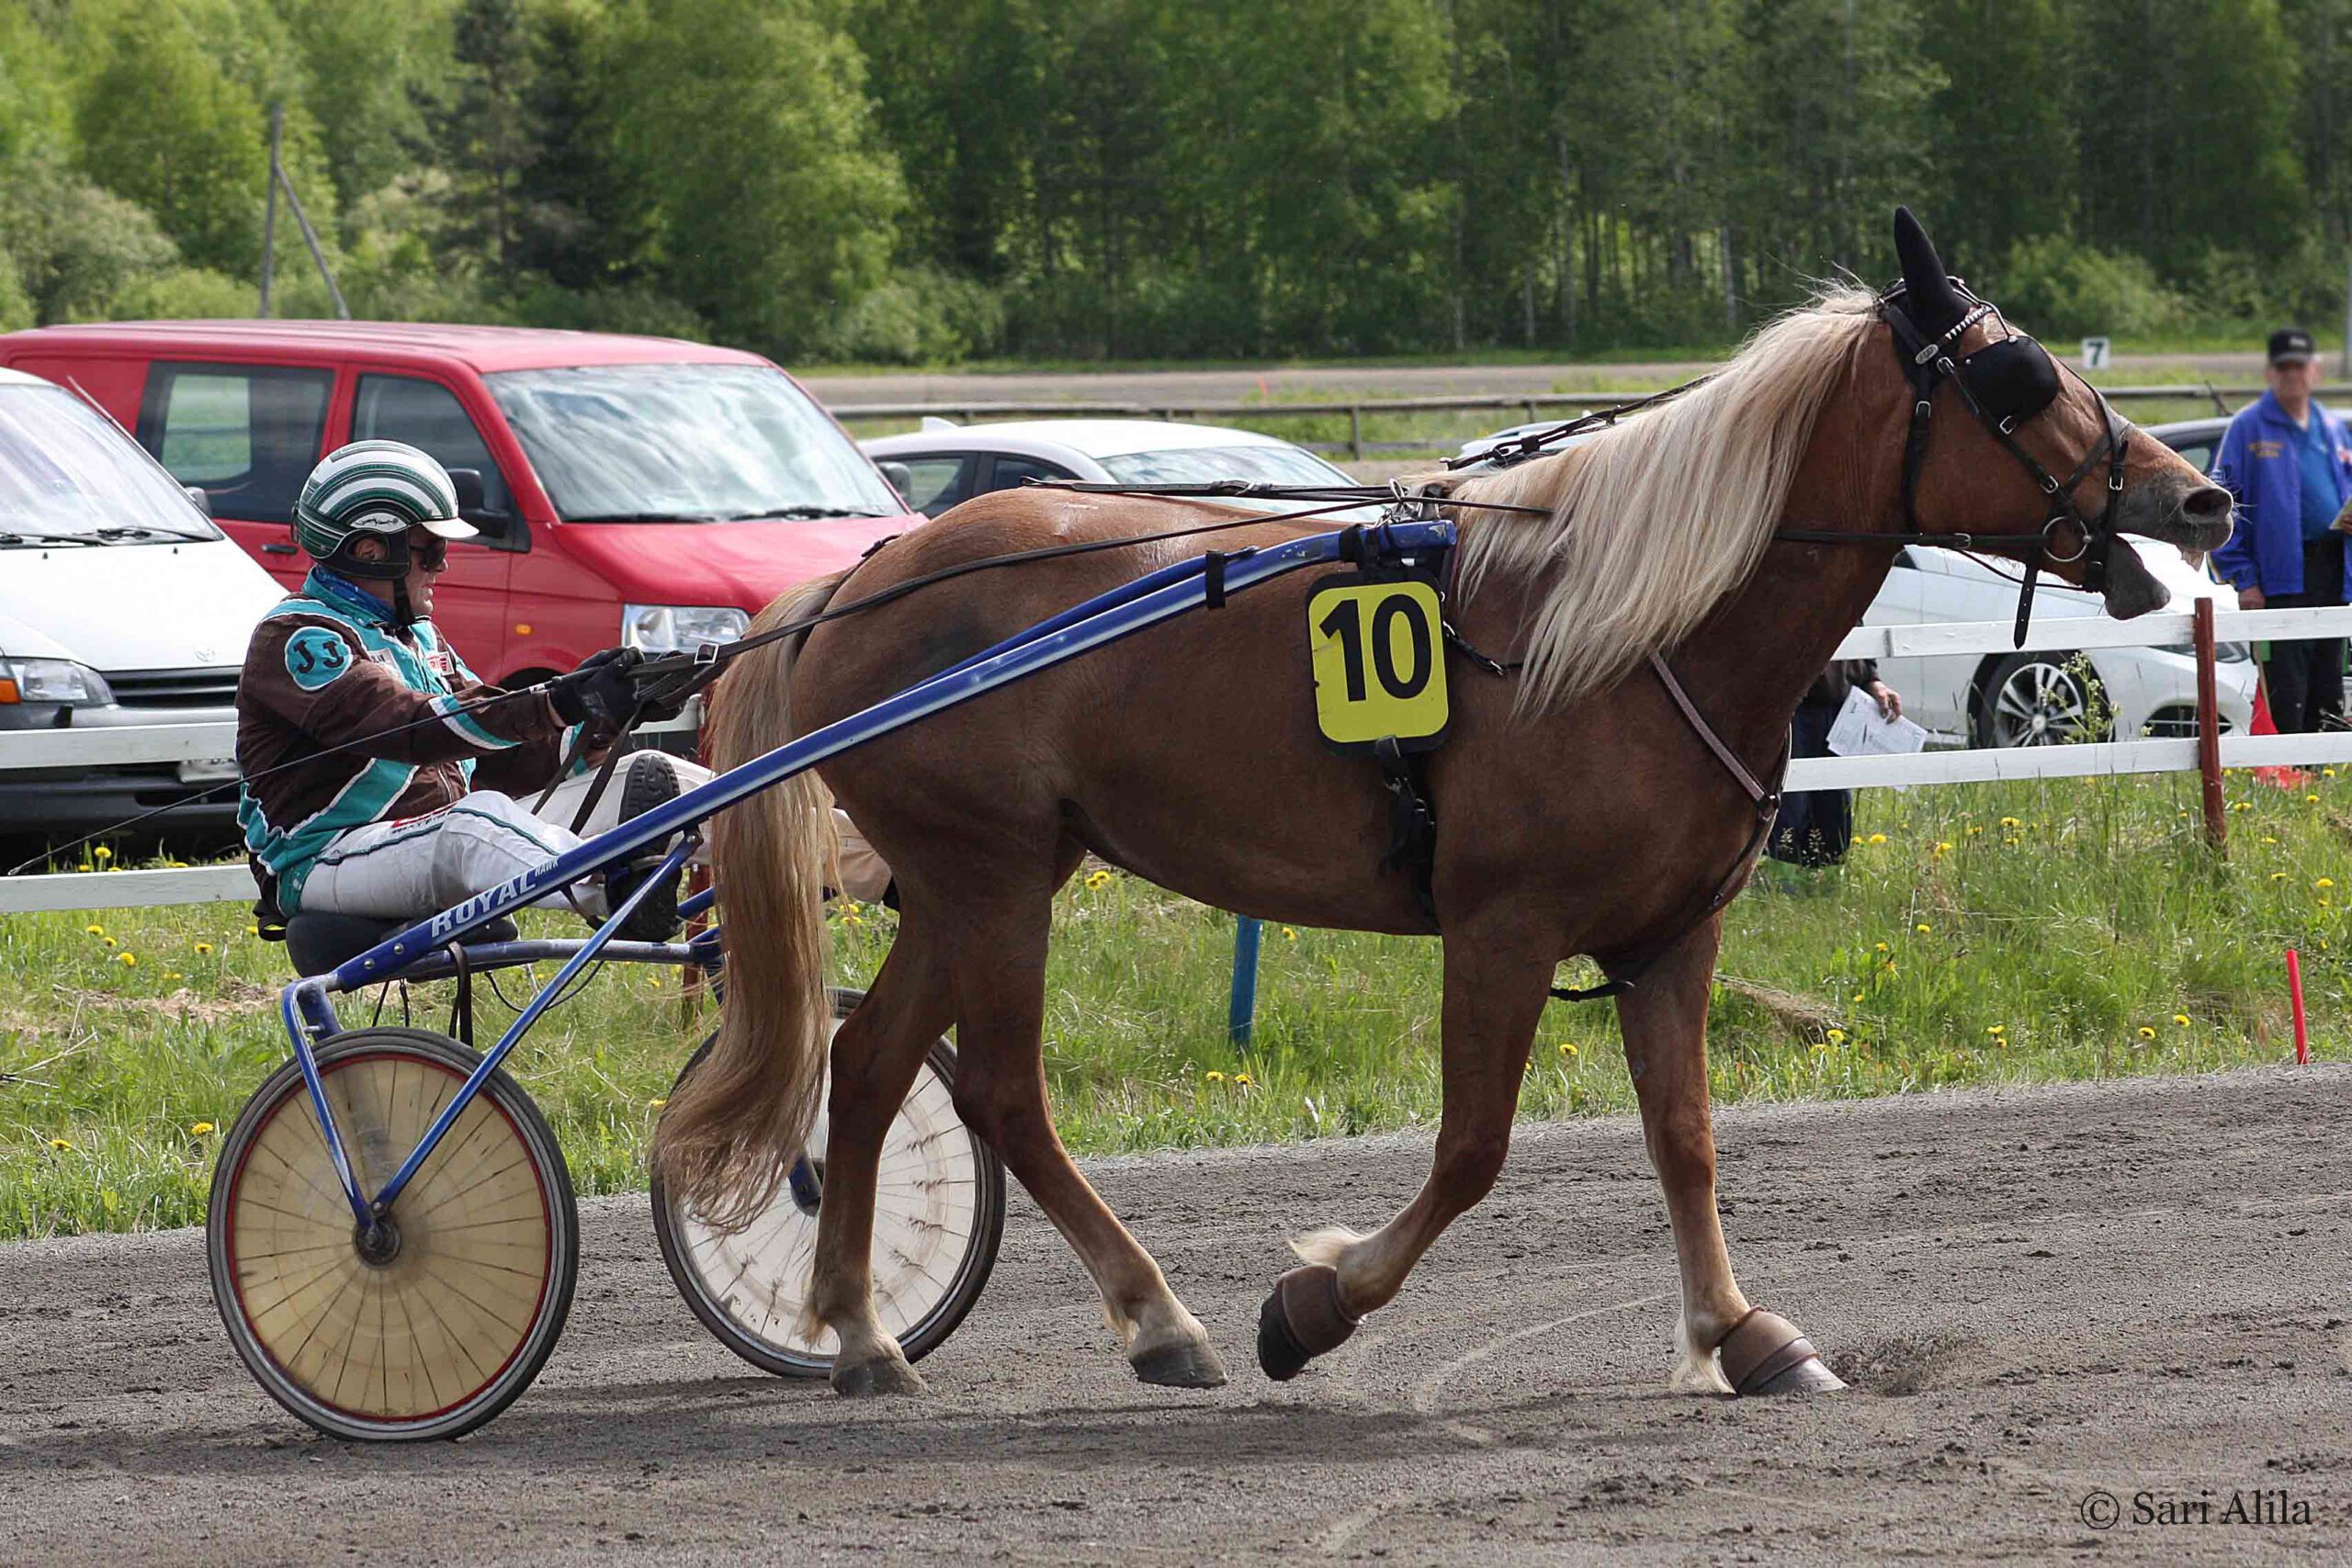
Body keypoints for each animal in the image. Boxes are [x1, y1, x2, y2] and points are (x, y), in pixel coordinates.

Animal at [658, 209, 2232, 1399]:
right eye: (2018, 377)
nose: (2201, 497)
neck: (1624, 634)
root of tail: (863, 575)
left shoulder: (1672, 935)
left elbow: (1687, 1136)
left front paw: (1739, 1329)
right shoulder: (1500, 928)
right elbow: (1472, 1150)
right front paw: (1313, 1304)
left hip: (987, 873)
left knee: (870, 1067)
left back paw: (863, 1327)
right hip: (987, 876)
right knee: (994, 1088)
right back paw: (1155, 1314)